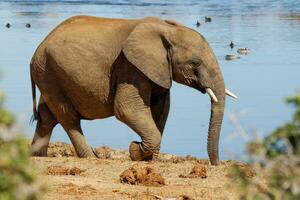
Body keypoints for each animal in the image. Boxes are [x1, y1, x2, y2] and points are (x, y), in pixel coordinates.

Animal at [30, 15, 237, 165]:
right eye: (195, 63)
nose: (216, 164)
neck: (168, 29)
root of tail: (37, 50)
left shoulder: (159, 70)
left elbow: (161, 110)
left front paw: (145, 156)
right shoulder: (129, 67)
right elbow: (127, 109)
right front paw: (135, 150)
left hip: (48, 73)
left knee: (47, 117)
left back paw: (37, 156)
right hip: (48, 72)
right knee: (68, 116)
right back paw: (91, 157)